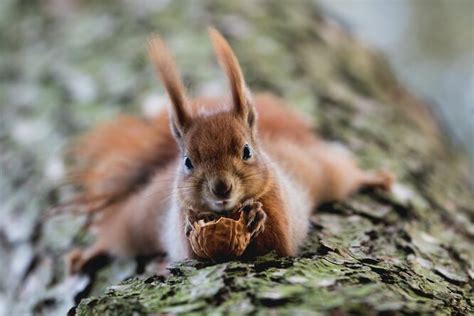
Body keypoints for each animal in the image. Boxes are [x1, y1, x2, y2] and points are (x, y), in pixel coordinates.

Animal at [66, 28, 392, 272]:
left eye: (247, 151)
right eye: (188, 162)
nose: (221, 188)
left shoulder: (280, 206)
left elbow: (280, 239)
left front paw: (257, 216)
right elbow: (192, 248)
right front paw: (192, 225)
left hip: (322, 171)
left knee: (344, 174)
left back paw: (376, 178)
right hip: (140, 217)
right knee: (117, 234)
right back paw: (87, 254)